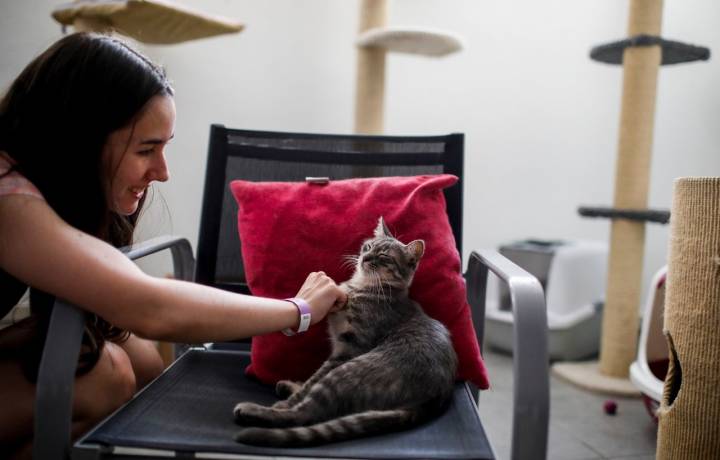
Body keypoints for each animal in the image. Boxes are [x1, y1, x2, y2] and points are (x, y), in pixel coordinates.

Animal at [232, 216, 456, 446]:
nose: (365, 257)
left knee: (305, 412)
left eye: (384, 256)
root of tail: (429, 401)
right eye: (368, 247)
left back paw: (256, 410)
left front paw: (287, 400)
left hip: (346, 371)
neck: (363, 287)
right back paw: (288, 386)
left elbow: (313, 381)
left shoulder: (348, 348)